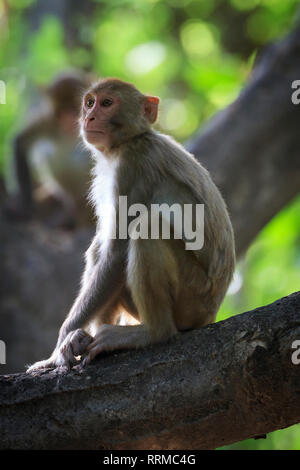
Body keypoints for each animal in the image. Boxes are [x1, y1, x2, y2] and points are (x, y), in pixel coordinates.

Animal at [27, 76, 236, 370]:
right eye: (89, 103)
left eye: (107, 103)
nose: (89, 117)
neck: (128, 142)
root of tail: (211, 314)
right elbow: (105, 248)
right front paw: (71, 340)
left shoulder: (133, 169)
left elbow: (116, 252)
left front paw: (57, 349)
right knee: (101, 250)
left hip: (194, 298)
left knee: (147, 226)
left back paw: (153, 332)